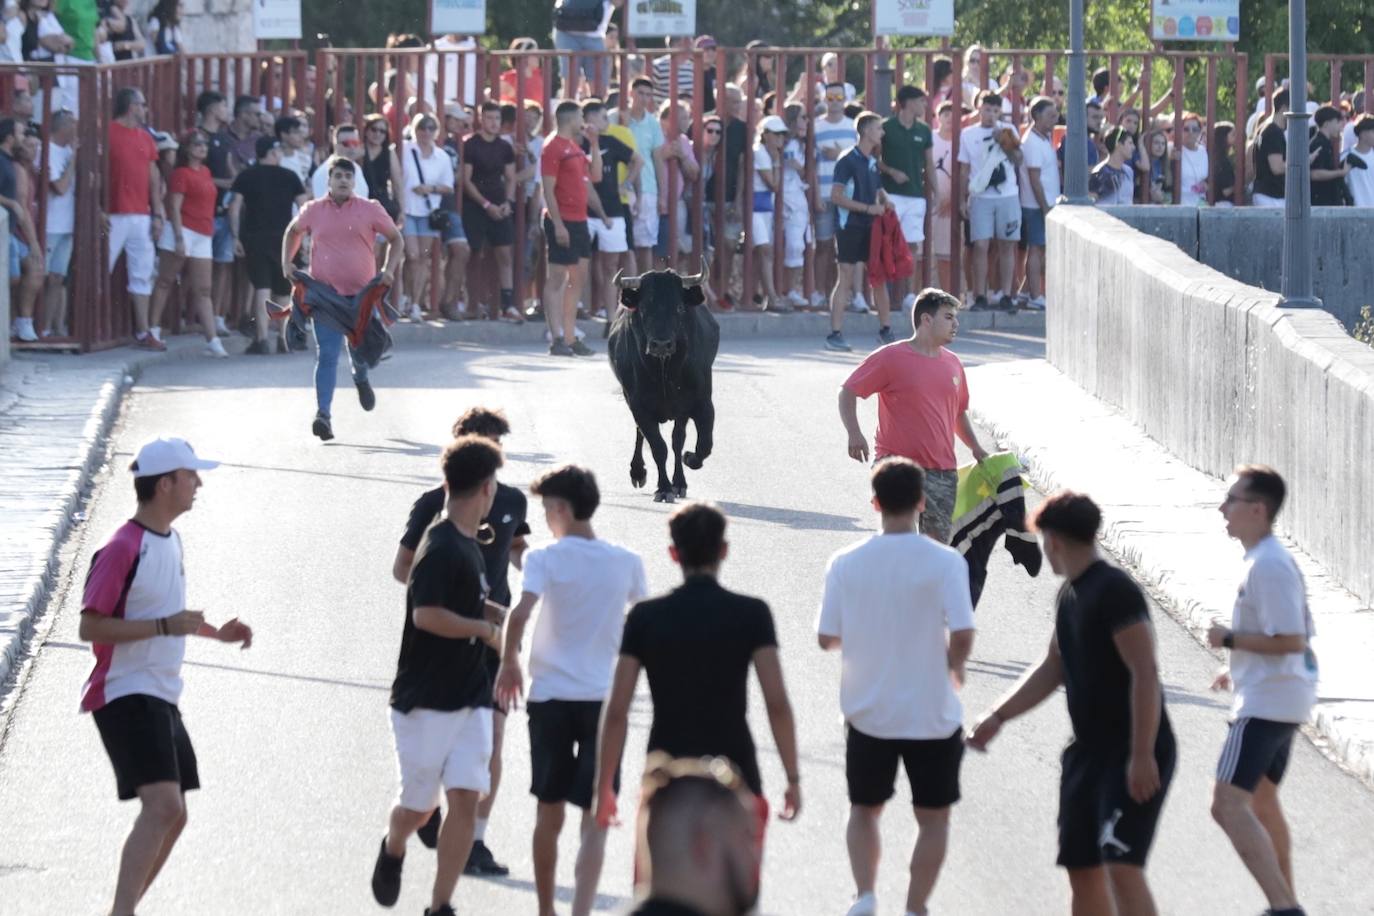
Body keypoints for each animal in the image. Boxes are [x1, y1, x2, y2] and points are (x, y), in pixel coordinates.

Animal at [610, 265, 725, 505]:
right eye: (644, 308)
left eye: (679, 307)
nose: (661, 344)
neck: (664, 370)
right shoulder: (639, 406)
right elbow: (658, 447)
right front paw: (663, 488)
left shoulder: (702, 404)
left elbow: (703, 445)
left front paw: (689, 459)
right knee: (643, 435)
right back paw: (638, 472)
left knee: (678, 440)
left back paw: (679, 482)